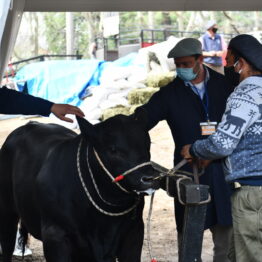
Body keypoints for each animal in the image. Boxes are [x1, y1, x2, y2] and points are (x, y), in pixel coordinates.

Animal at [0, 112, 160, 262]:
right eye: (113, 149)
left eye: (148, 143)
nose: (150, 178)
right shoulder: (55, 237)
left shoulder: (134, 233)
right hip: (7, 212)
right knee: (7, 245)